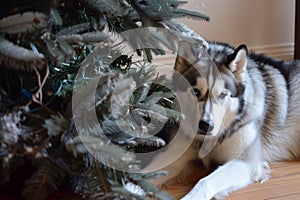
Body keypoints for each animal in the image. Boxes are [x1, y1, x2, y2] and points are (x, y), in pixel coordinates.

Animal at [142, 40, 300, 198]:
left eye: (223, 94)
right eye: (196, 91)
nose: (206, 125)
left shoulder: (245, 163)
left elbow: (204, 182)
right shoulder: (175, 155)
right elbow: (144, 174)